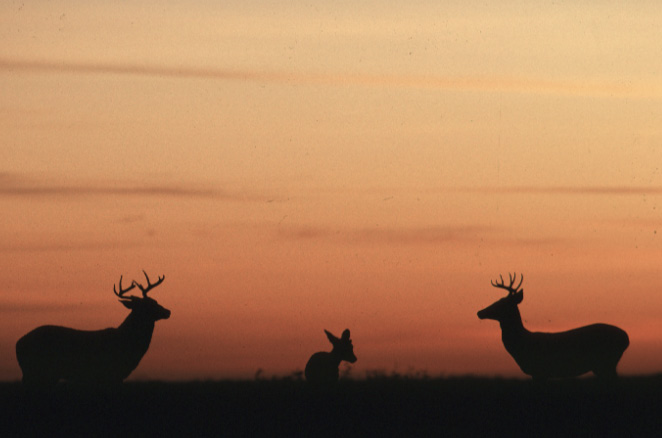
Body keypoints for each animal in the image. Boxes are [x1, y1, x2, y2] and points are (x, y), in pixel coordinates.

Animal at [16, 271, 170, 390]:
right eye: (149, 304)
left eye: (155, 301)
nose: (167, 311)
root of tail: (18, 344)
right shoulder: (110, 374)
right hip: (35, 371)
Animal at [477, 273, 629, 381]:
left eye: (501, 302)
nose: (479, 312)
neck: (523, 344)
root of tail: (626, 338)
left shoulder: (539, 371)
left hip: (606, 362)